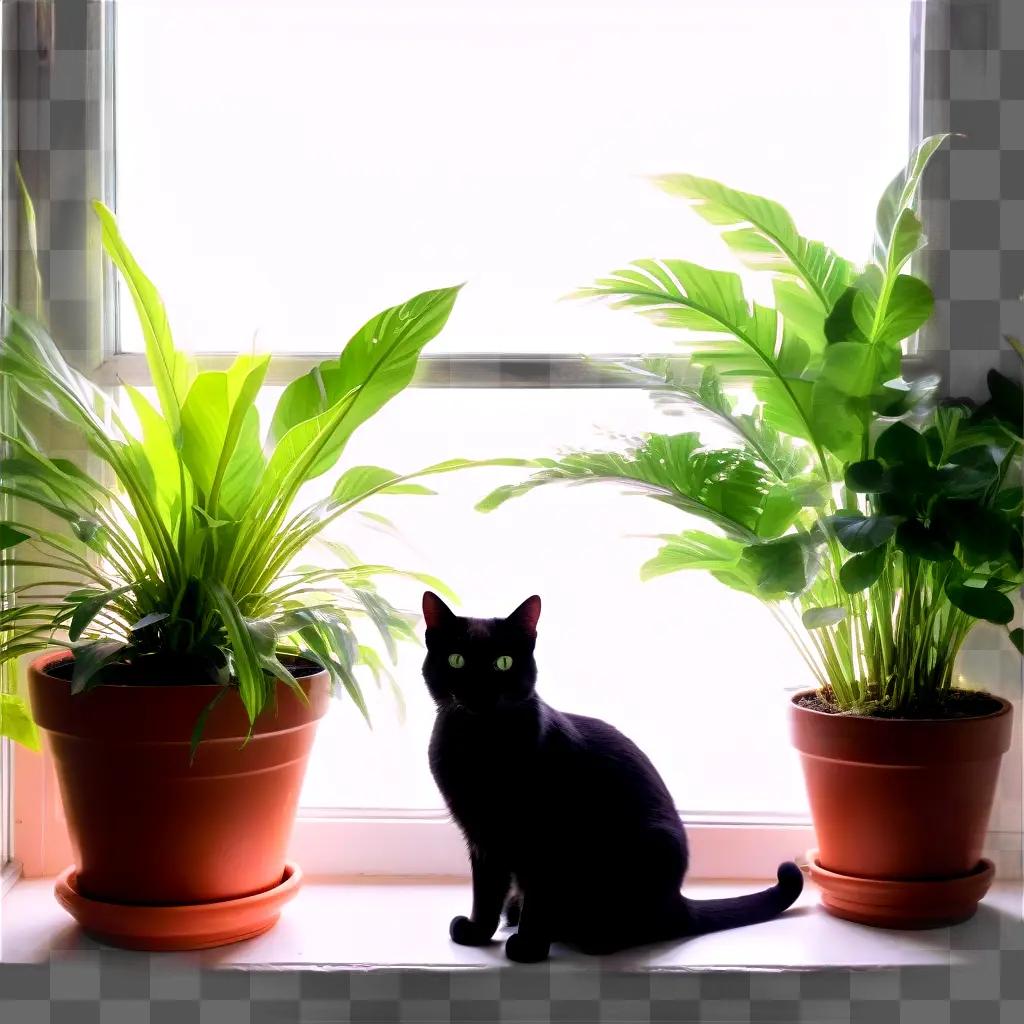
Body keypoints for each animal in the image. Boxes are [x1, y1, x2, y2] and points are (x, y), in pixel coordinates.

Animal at [419, 593, 802, 958]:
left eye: (503, 663)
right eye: (457, 660)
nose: (479, 692)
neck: (480, 746)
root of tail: (679, 902)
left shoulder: (546, 837)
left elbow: (539, 897)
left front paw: (528, 947)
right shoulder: (481, 837)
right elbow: (485, 893)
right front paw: (477, 932)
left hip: (646, 852)